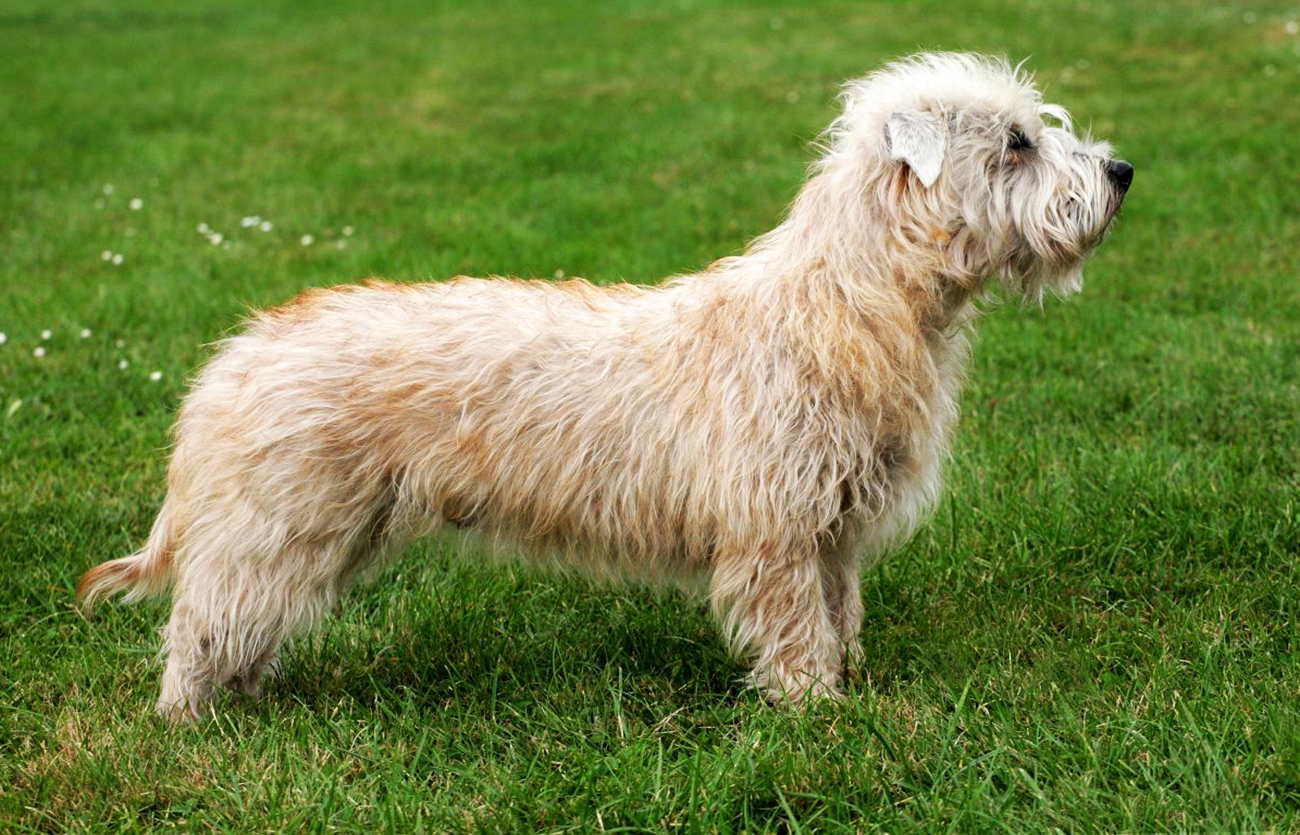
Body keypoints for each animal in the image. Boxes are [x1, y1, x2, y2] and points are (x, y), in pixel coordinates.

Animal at [86, 52, 1133, 717]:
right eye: (1016, 142)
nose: (1122, 170)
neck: (847, 304)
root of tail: (238, 352)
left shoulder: (831, 527)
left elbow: (841, 612)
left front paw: (849, 683)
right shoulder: (775, 530)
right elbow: (795, 625)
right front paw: (814, 711)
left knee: (232, 621)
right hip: (281, 526)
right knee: (203, 622)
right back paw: (190, 722)